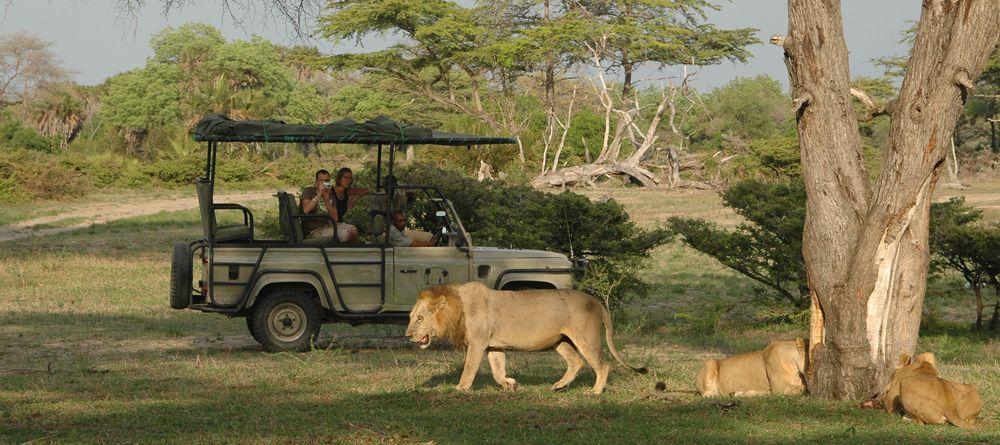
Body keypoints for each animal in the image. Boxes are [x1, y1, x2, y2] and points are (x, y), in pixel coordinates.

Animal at [406, 282, 648, 394]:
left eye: (420, 318)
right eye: (411, 317)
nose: (408, 335)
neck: (457, 309)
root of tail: (596, 301)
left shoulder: (477, 343)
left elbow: (469, 368)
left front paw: (460, 388)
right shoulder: (493, 346)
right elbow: (497, 370)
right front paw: (510, 384)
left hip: (586, 338)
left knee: (603, 365)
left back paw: (596, 391)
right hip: (560, 341)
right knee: (576, 362)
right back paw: (558, 386)